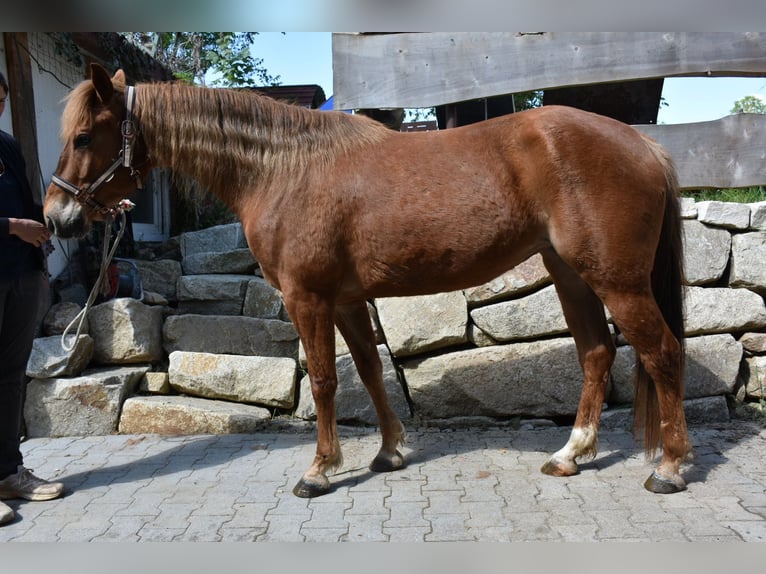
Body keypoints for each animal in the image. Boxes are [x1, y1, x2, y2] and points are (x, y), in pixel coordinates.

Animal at [44, 63, 690, 497]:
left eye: (83, 137)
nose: (56, 217)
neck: (283, 169)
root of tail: (643, 143)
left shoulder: (308, 299)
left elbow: (325, 381)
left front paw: (318, 471)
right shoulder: (349, 301)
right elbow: (372, 374)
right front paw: (387, 453)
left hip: (617, 282)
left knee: (661, 352)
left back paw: (669, 467)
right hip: (570, 275)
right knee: (597, 352)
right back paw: (571, 454)